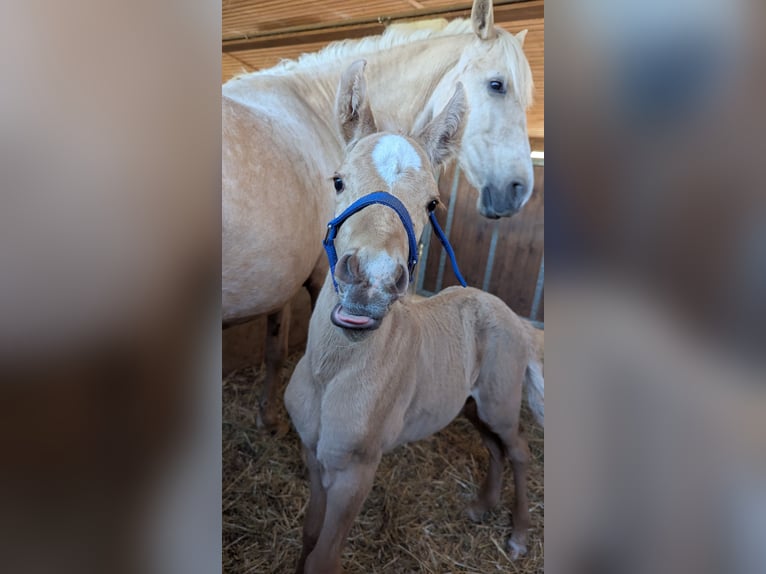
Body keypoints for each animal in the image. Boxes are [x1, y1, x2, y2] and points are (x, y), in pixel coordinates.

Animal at [222, 0, 535, 431]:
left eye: (432, 202)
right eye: (497, 84)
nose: (518, 189)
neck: (313, 113)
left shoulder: (286, 279)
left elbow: (274, 347)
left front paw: (265, 416)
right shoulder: (318, 274)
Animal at [284, 66, 544, 574]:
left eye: (431, 204)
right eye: (338, 180)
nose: (372, 281)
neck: (332, 374)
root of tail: (514, 318)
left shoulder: (356, 472)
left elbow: (325, 556)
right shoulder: (314, 459)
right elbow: (307, 536)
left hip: (500, 402)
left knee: (519, 451)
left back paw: (520, 535)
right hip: (470, 404)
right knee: (494, 449)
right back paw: (481, 506)